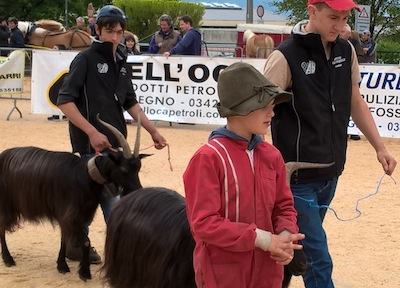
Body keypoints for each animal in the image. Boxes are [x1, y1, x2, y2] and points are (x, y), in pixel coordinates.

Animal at [0, 116, 148, 282]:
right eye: (124, 169)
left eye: (138, 168)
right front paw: (84, 272)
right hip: (7, 202)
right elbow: (85, 241)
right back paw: (8, 259)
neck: (86, 175)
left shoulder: (75, 213)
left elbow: (65, 238)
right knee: (1, 225)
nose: (137, 190)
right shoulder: (70, 213)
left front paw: (62, 265)